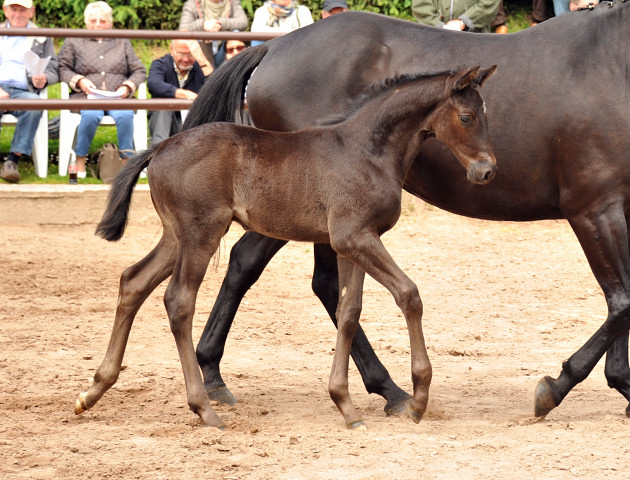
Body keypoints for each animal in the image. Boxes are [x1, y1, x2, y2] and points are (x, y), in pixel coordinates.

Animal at [75, 65, 498, 430]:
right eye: (465, 117)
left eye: (486, 113)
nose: (487, 170)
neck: (366, 151)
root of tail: (159, 149)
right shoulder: (355, 237)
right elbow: (409, 294)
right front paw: (417, 399)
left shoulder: (353, 241)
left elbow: (349, 311)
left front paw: (346, 405)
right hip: (200, 234)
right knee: (179, 300)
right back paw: (204, 409)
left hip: (175, 237)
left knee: (133, 281)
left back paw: (93, 390)